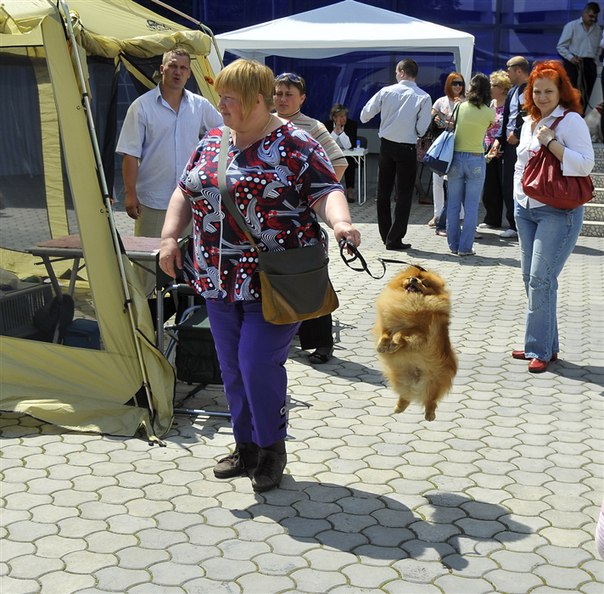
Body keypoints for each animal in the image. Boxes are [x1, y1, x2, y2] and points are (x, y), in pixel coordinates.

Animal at [376, 264, 456, 420]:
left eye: (424, 283)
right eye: (410, 278)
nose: (413, 279)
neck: (410, 300)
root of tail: (416, 382)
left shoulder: (421, 333)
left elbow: (402, 333)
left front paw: (394, 344)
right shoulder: (387, 323)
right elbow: (385, 333)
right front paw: (382, 345)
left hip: (435, 380)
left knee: (431, 400)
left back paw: (430, 415)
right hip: (399, 379)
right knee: (405, 397)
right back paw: (399, 408)